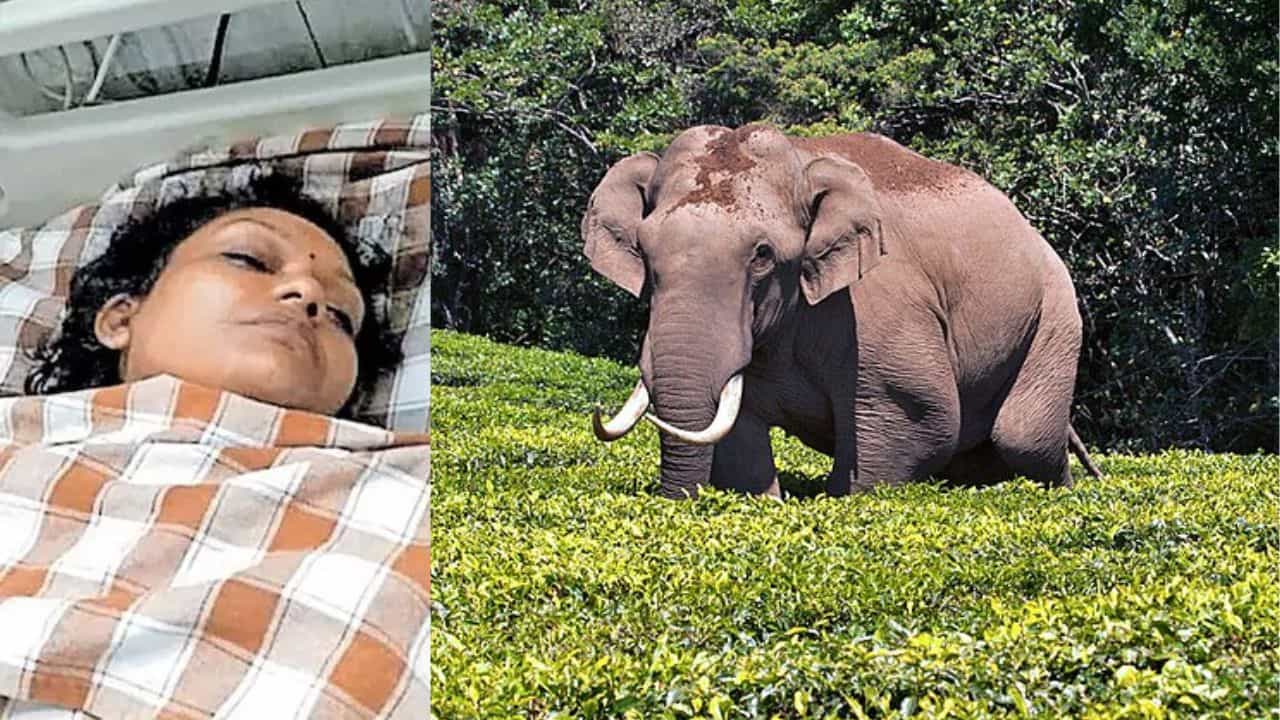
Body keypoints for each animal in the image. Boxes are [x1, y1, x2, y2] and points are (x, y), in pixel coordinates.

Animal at [583, 124, 1102, 499]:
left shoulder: (880, 308)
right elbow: (738, 435)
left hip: (1056, 314)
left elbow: (920, 416)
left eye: (763, 255)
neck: (802, 158)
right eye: (644, 250)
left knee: (1022, 436)